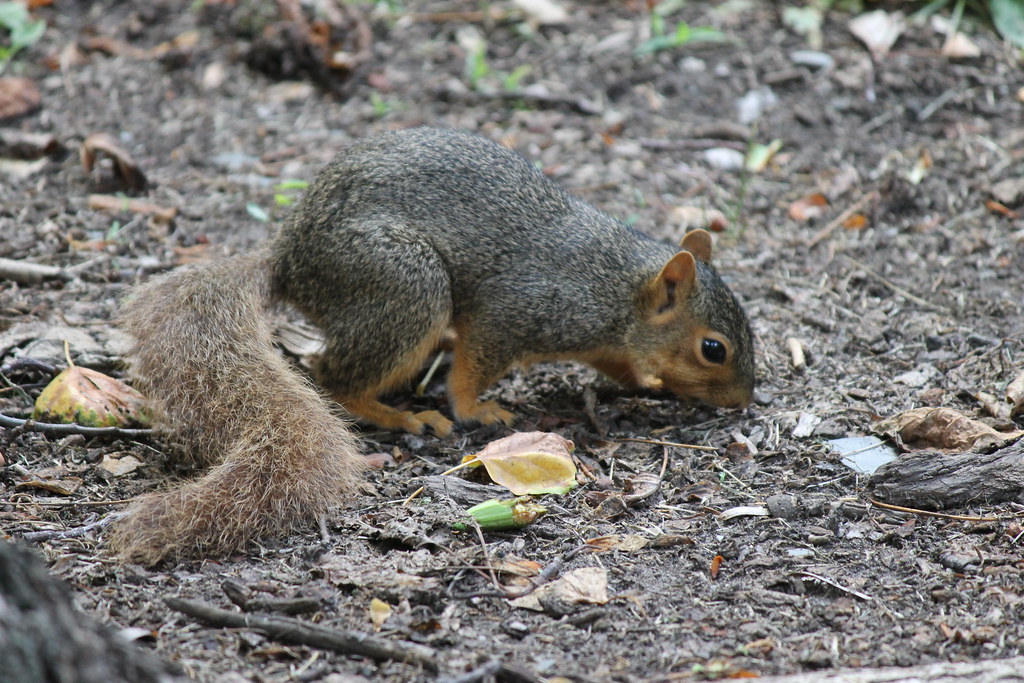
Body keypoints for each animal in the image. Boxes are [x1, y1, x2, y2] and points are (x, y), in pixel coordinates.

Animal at [109, 127, 755, 564]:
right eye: (714, 349)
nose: (745, 401)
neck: (620, 288)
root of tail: (289, 257)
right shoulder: (518, 310)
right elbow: (472, 368)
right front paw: (476, 409)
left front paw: (648, 381)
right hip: (405, 283)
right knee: (331, 373)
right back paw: (402, 416)